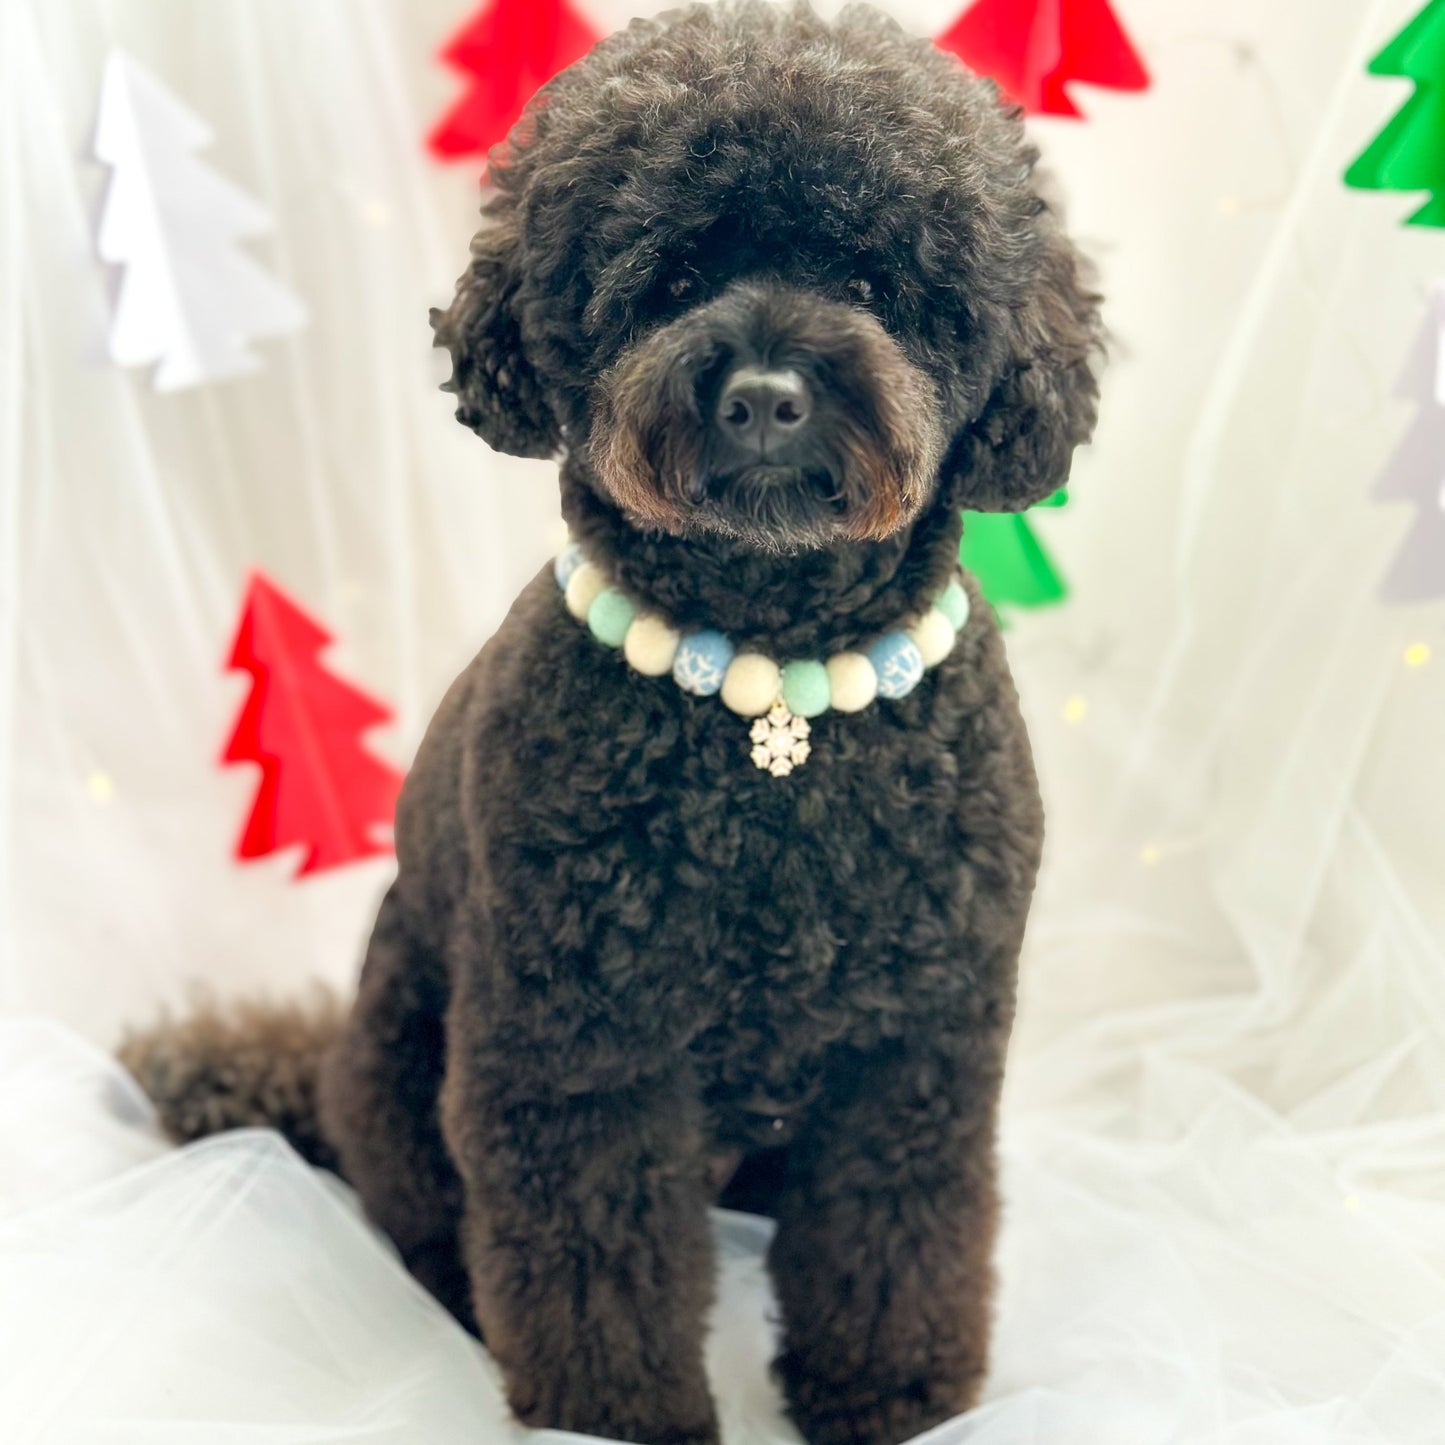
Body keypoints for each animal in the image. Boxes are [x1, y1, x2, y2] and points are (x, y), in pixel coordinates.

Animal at [127, 5, 1092, 1439]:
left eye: (877, 282)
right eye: (668, 274)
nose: (765, 394)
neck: (772, 704)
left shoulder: (916, 1045)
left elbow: (893, 1236)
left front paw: (887, 1395)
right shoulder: (578, 1049)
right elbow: (599, 1261)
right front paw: (615, 1417)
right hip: (407, 1057)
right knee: (425, 1220)